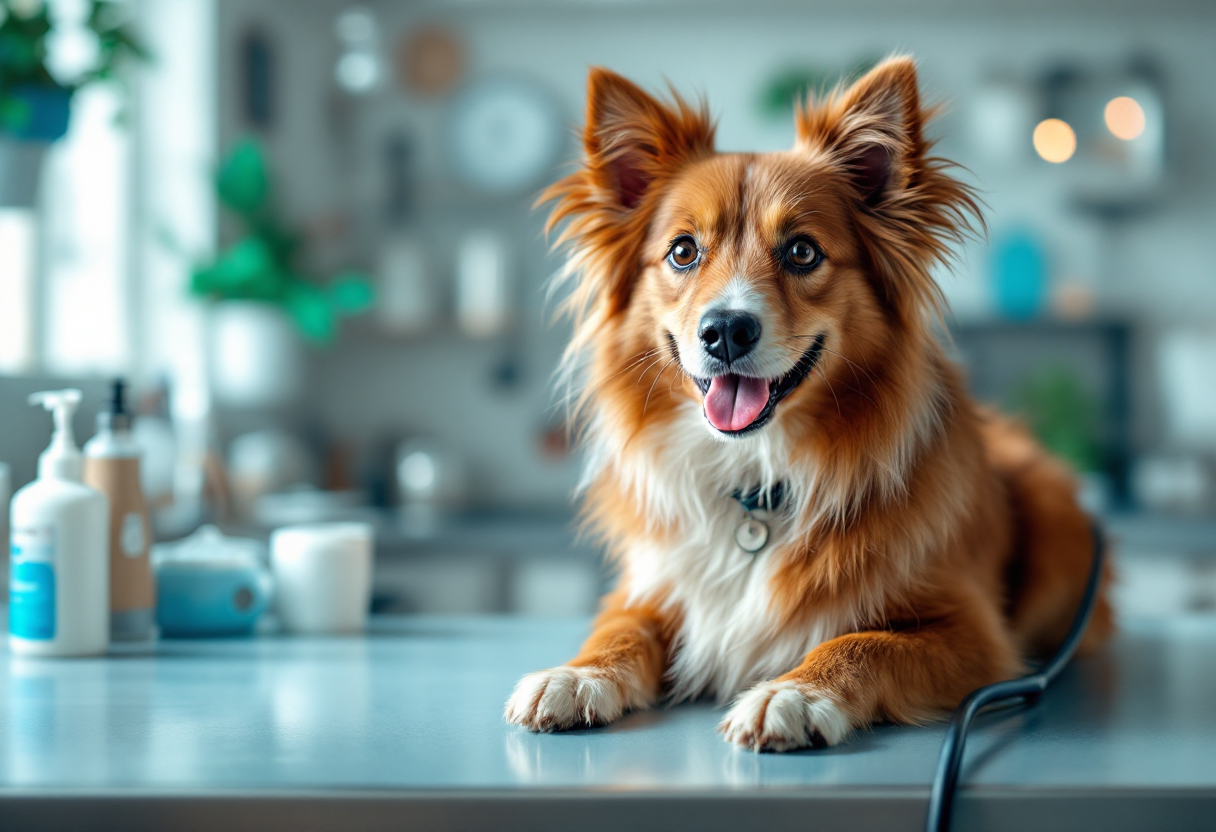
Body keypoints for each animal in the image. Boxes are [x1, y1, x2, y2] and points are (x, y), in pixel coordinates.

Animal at [503, 55, 1113, 749]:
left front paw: (794, 694)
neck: (758, 480)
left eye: (801, 250)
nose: (725, 330)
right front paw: (577, 676)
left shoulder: (976, 636)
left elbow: (864, 642)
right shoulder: (650, 589)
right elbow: (619, 631)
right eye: (683, 251)